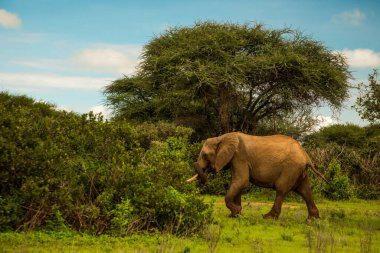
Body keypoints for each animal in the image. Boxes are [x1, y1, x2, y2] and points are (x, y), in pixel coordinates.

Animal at [186, 132, 326, 219]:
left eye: (205, 155)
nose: (209, 170)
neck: (222, 137)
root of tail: (306, 155)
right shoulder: (235, 159)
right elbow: (238, 183)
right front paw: (235, 215)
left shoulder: (240, 156)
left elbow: (241, 181)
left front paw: (236, 212)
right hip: (298, 170)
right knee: (305, 190)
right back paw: (312, 220)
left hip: (291, 167)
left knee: (281, 189)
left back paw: (268, 217)